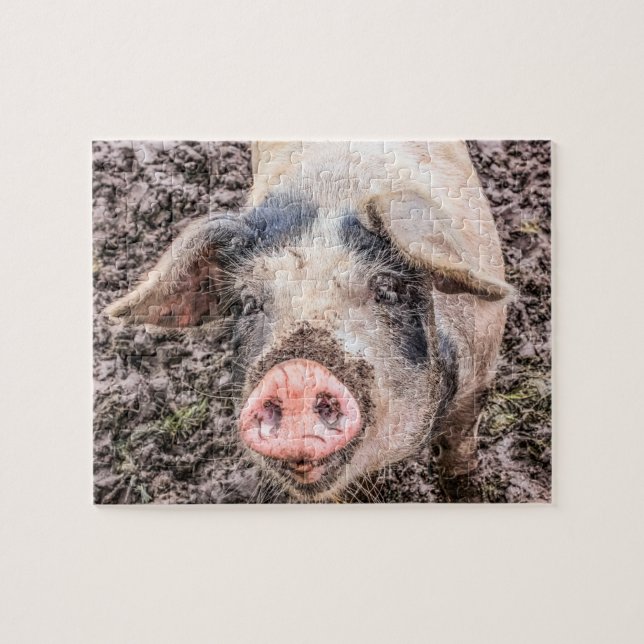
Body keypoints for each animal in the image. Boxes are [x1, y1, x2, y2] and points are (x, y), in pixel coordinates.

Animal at [106, 141, 513, 502]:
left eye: (386, 288)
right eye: (249, 303)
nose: (296, 376)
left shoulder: (482, 365)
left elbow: (458, 444)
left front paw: (468, 494)